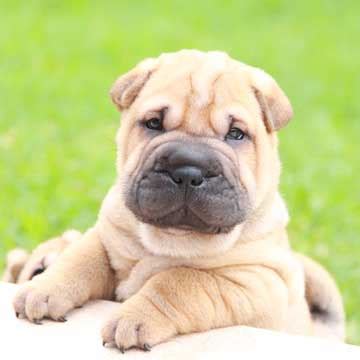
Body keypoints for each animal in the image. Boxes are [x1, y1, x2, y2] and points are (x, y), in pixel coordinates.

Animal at [12, 50, 344, 352]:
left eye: (236, 134)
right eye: (153, 123)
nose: (188, 169)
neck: (169, 239)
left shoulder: (257, 281)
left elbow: (180, 281)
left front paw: (134, 318)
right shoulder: (106, 238)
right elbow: (81, 258)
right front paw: (43, 288)